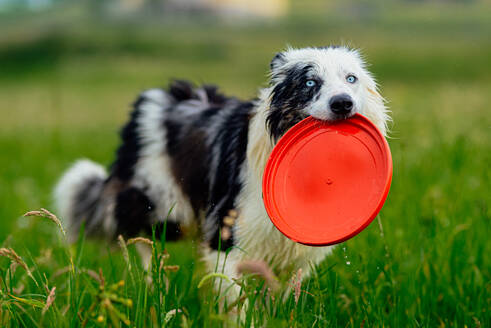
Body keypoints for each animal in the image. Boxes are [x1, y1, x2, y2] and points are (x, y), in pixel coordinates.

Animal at [55, 46, 390, 302]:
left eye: (351, 79)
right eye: (310, 83)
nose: (342, 103)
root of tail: (159, 97)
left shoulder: (295, 254)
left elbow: (279, 297)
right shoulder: (224, 234)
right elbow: (235, 300)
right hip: (161, 208)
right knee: (140, 242)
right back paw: (153, 289)